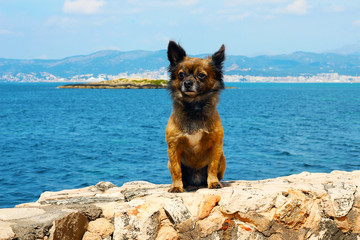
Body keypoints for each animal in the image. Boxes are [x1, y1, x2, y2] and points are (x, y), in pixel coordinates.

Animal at [165, 40, 225, 192]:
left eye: (201, 75)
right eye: (181, 75)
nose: (187, 83)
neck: (194, 107)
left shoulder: (216, 146)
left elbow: (212, 167)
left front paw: (213, 183)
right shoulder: (173, 147)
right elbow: (176, 170)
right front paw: (176, 187)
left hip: (223, 158)